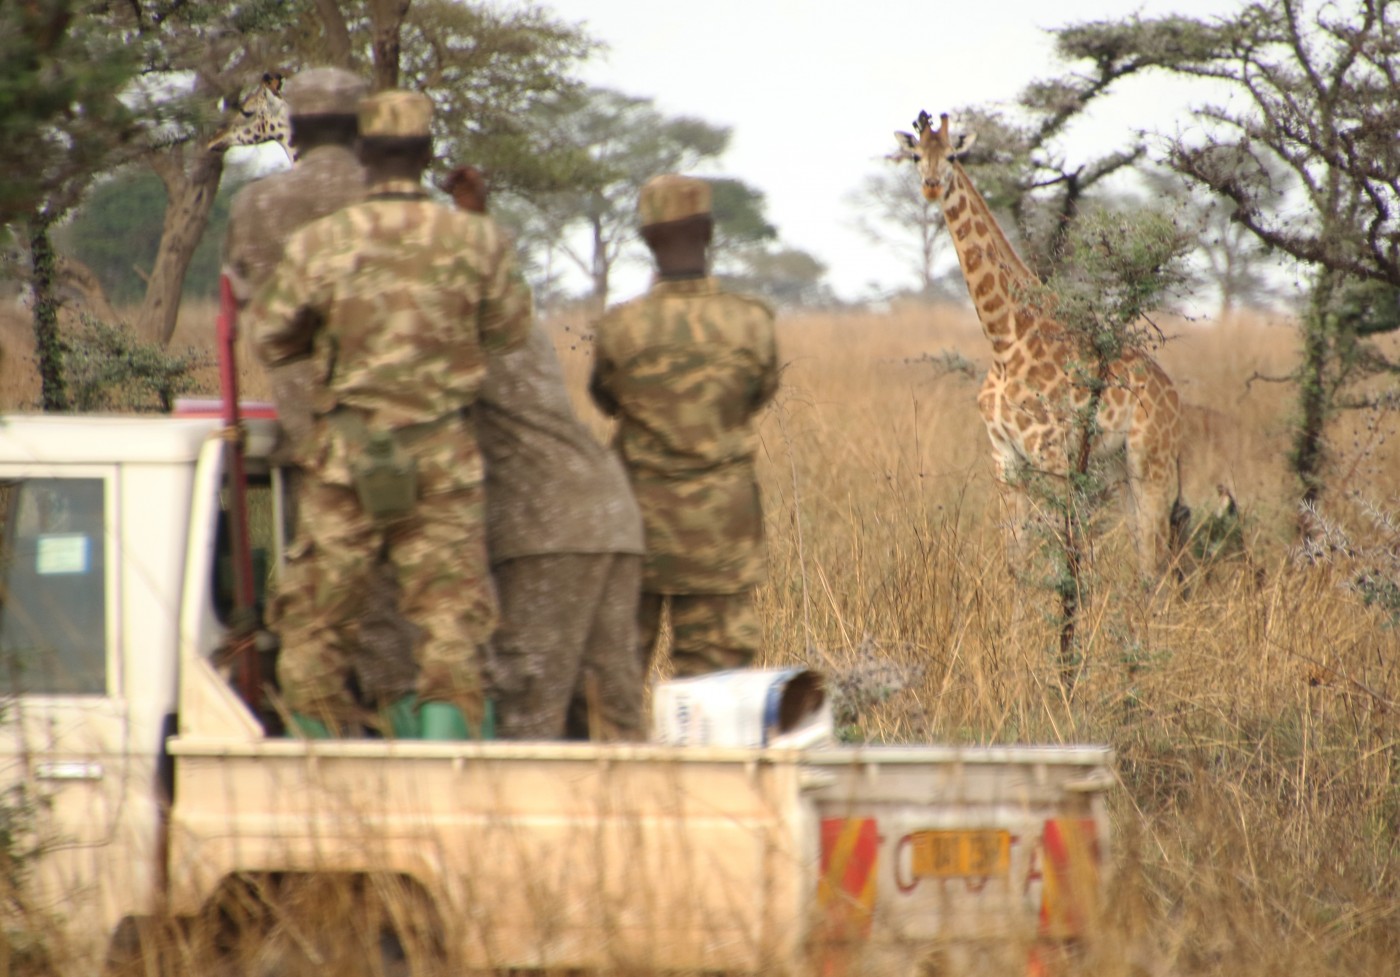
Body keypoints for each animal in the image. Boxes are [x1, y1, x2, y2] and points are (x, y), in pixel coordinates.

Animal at [896, 111, 1181, 579]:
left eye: (953, 155)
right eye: (916, 155)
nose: (932, 185)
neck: (1005, 337)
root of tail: (1175, 400)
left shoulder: (1049, 454)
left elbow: (1058, 555)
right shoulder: (1006, 457)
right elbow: (1015, 557)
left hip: (1149, 458)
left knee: (1154, 558)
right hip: (1115, 466)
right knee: (1144, 552)